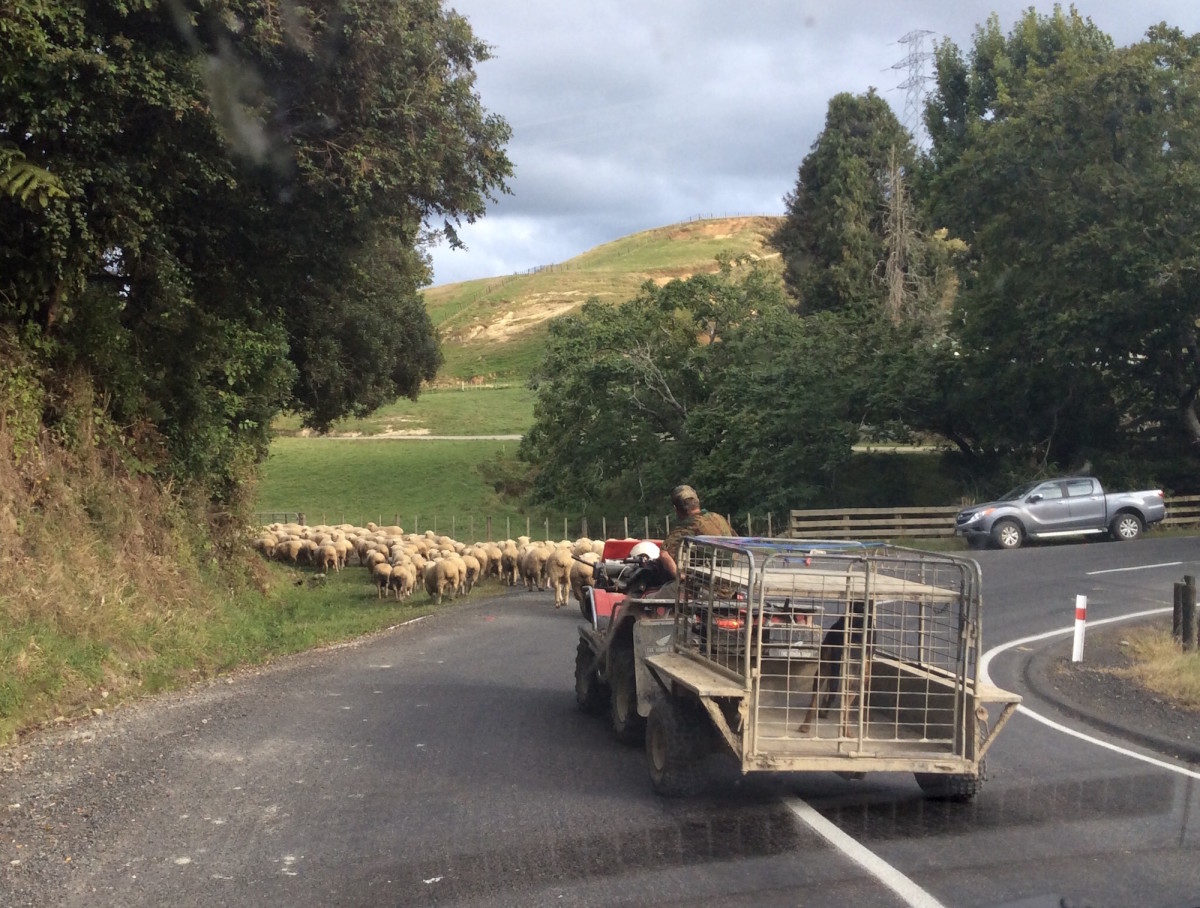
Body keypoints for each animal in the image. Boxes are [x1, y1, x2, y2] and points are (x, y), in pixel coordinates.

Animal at [801, 599, 878, 734]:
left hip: (822, 671)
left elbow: (829, 690)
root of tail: (840, 638)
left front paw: (823, 711)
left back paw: (805, 726)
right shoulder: (866, 669)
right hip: (853, 680)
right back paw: (847, 732)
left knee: (814, 701)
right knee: (845, 709)